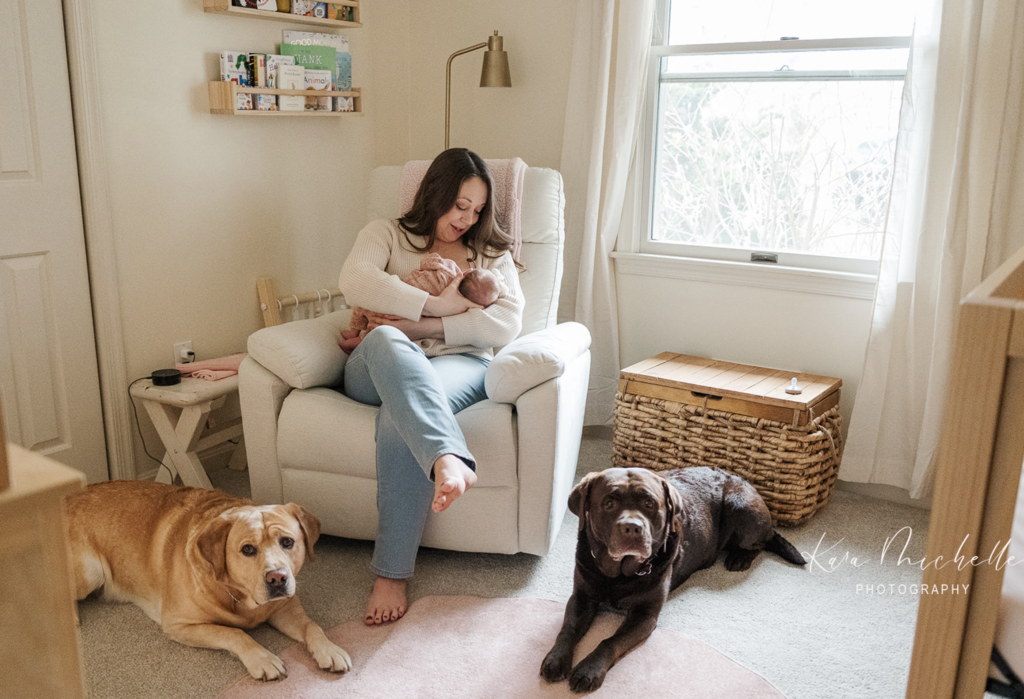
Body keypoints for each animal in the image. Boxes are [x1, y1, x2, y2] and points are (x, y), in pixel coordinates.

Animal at [67, 478, 352, 679]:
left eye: (288, 542)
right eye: (248, 549)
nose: (278, 578)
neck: (239, 599)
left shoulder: (285, 607)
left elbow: (312, 626)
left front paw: (330, 649)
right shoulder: (180, 624)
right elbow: (234, 633)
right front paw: (262, 658)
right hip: (91, 573)